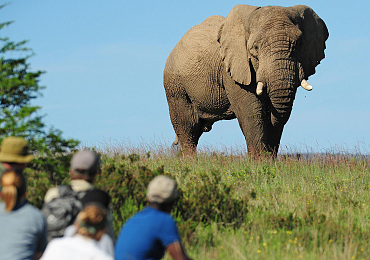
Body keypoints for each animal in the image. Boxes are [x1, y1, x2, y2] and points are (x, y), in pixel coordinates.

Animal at [163, 4, 328, 156]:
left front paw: (270, 160)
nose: (270, 152)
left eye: (300, 44)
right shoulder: (231, 71)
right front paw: (261, 162)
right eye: (255, 48)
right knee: (187, 127)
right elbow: (251, 112)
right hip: (175, 86)